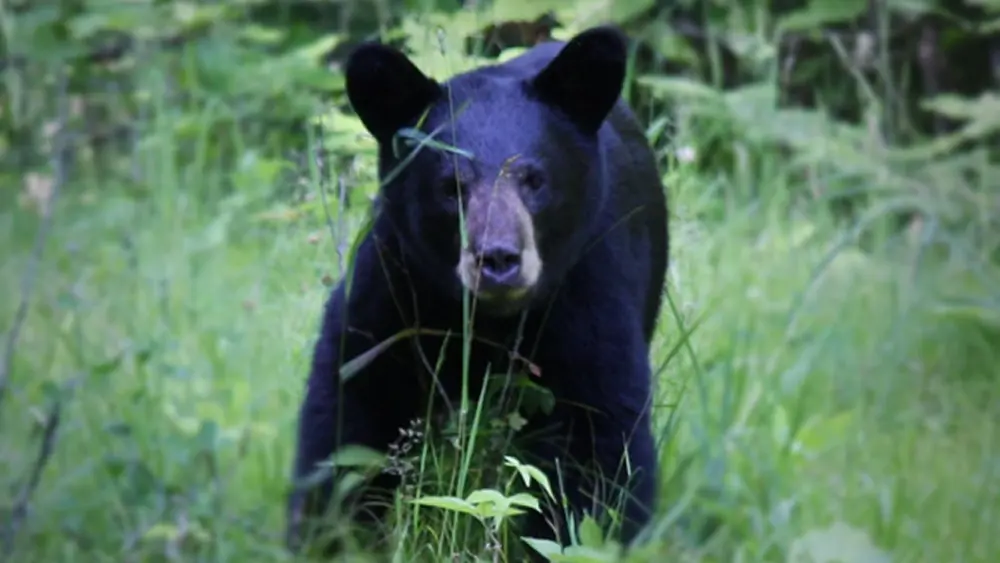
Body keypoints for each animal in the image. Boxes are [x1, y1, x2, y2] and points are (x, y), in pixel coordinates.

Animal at [286, 25, 670, 558]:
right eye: (451, 187)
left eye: (534, 179)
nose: (498, 258)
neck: (489, 320)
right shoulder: (394, 287)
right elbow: (349, 413)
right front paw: (330, 536)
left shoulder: (589, 290)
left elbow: (599, 444)